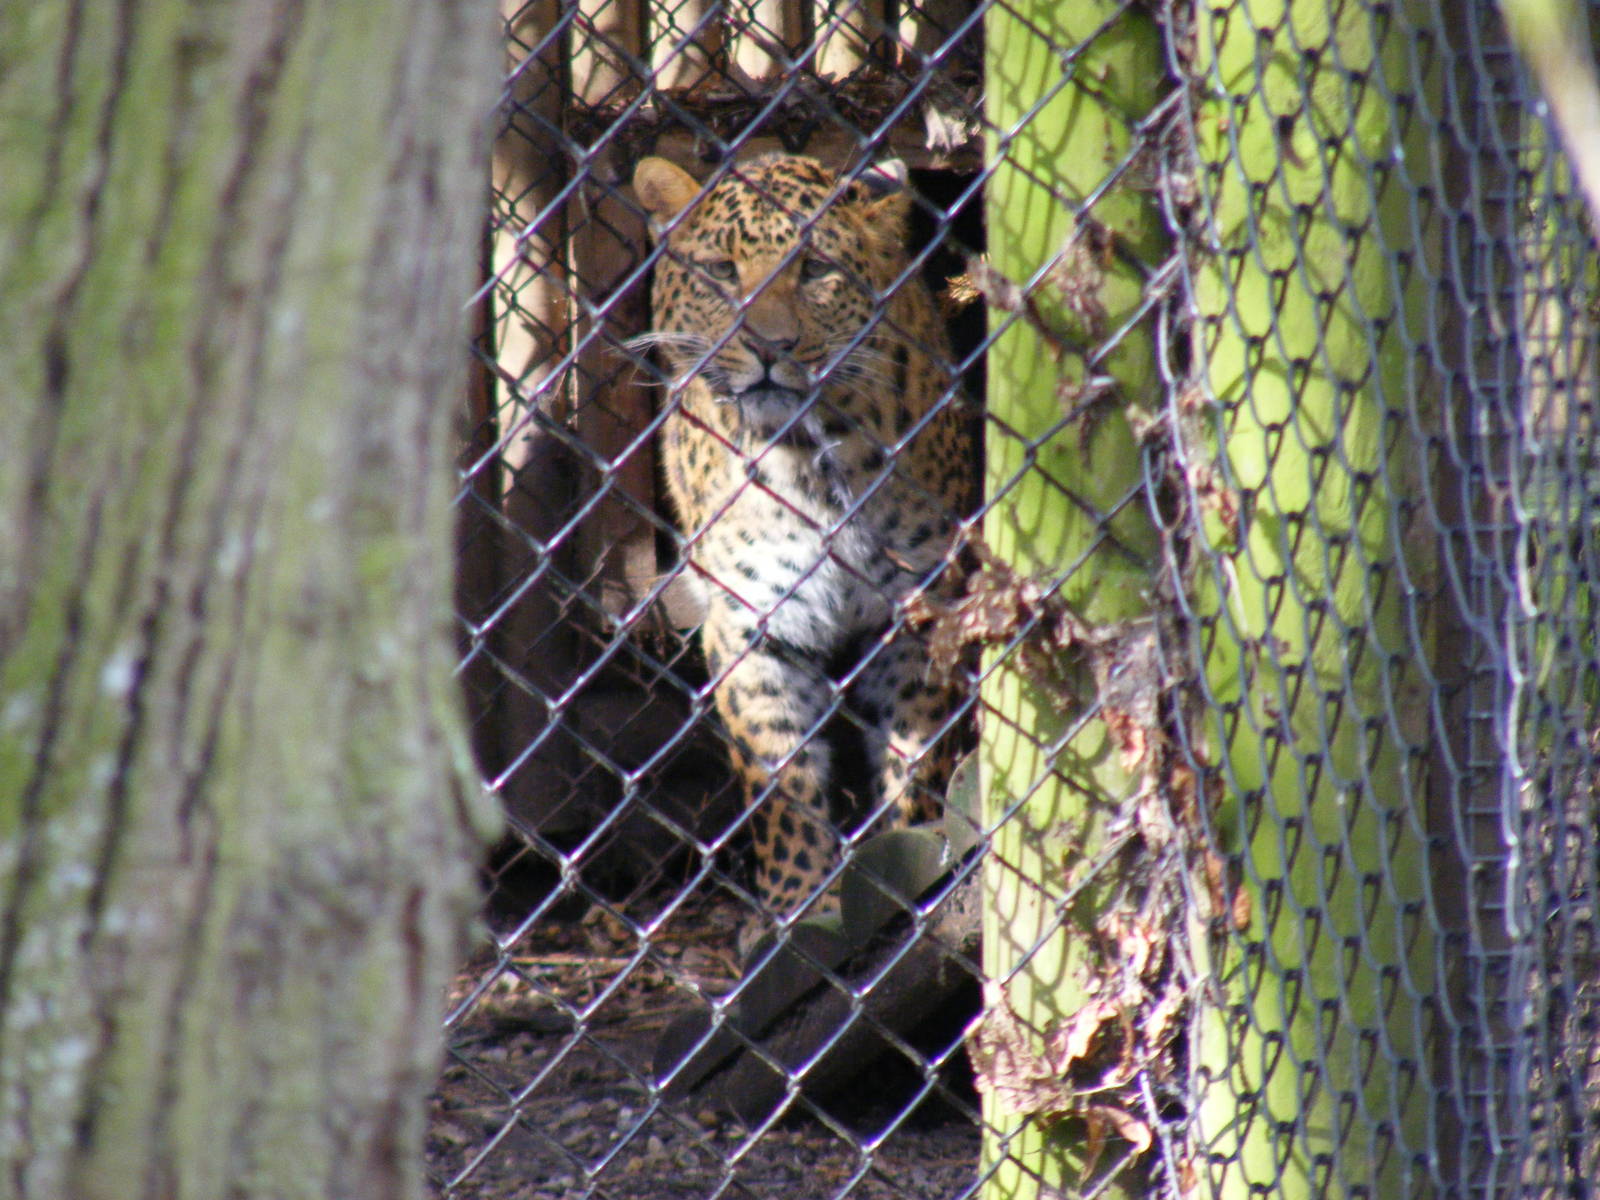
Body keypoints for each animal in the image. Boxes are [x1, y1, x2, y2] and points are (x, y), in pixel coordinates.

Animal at [631, 152, 974, 929]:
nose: (768, 347)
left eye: (816, 269)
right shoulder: (751, 621)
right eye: (722, 271)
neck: (805, 458)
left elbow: (916, 756)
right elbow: (780, 784)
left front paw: (911, 854)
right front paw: (799, 907)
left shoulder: (917, 608)